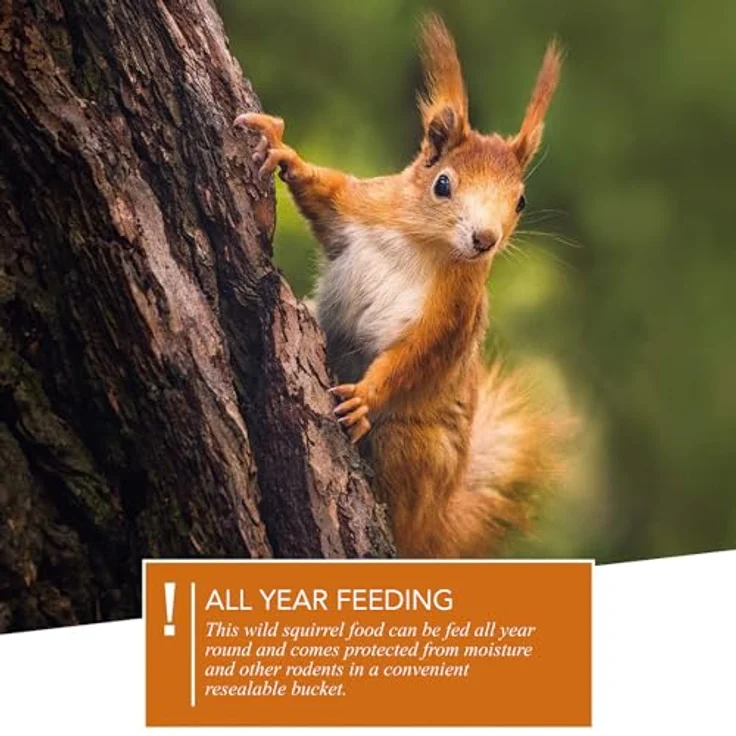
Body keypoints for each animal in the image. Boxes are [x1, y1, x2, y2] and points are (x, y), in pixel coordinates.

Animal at [234, 15, 566, 558]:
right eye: (443, 184)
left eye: (520, 201)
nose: (485, 240)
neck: (424, 244)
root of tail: (437, 521)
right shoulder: (361, 205)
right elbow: (323, 192)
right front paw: (285, 153)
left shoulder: (453, 313)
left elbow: (415, 355)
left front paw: (366, 396)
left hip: (415, 449)